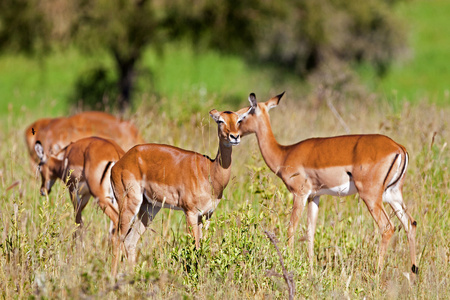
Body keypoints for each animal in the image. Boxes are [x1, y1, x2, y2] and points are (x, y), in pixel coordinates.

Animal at [110, 107, 250, 276]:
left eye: (238, 120)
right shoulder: (190, 212)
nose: (234, 136)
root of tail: (118, 163)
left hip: (149, 208)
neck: (209, 172)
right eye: (220, 120)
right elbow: (194, 247)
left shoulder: (206, 215)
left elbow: (201, 247)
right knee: (117, 237)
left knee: (130, 241)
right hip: (129, 203)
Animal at [237, 92, 416, 278]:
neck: (284, 154)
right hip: (393, 196)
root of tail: (399, 147)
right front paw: (310, 270)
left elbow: (291, 228)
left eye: (242, 117)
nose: (234, 135)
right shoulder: (314, 196)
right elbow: (310, 232)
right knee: (410, 224)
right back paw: (414, 272)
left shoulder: (299, 194)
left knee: (387, 227)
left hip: (371, 197)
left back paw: (377, 274)